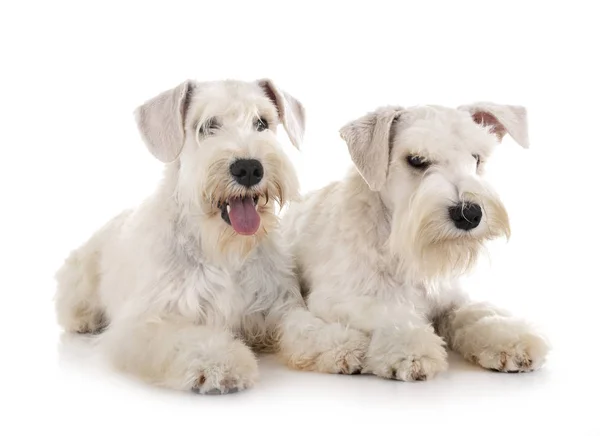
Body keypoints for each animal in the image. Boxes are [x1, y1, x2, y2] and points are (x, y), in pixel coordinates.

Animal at [55, 79, 366, 396]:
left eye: (261, 122)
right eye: (207, 126)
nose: (249, 168)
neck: (225, 248)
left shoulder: (278, 305)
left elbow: (305, 325)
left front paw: (339, 343)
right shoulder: (149, 322)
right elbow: (187, 339)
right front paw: (218, 363)